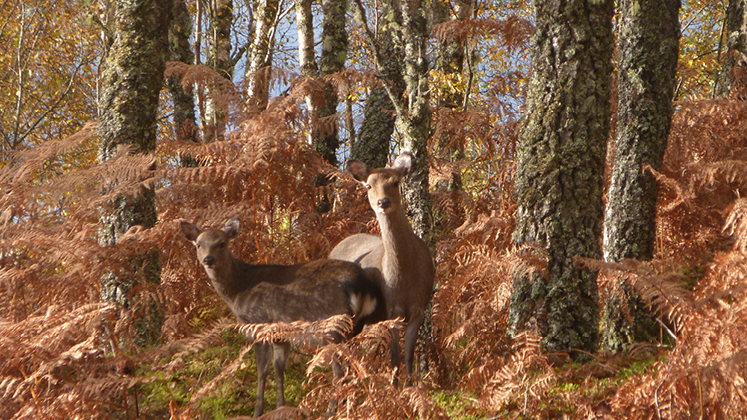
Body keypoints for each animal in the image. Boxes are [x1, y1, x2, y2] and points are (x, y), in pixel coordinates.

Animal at [178, 218, 382, 418]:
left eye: (221, 243)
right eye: (198, 244)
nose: (208, 259)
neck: (238, 291)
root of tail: (362, 285)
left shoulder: (258, 324)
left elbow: (262, 370)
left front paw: (258, 412)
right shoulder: (280, 335)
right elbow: (278, 368)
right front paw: (280, 407)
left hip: (331, 327)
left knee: (340, 371)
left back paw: (331, 411)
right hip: (355, 325)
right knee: (357, 365)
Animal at [330, 153, 436, 386]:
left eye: (395, 182)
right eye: (369, 185)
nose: (383, 201)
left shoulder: (419, 307)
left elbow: (408, 354)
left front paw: (410, 387)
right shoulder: (391, 310)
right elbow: (394, 356)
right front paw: (395, 387)